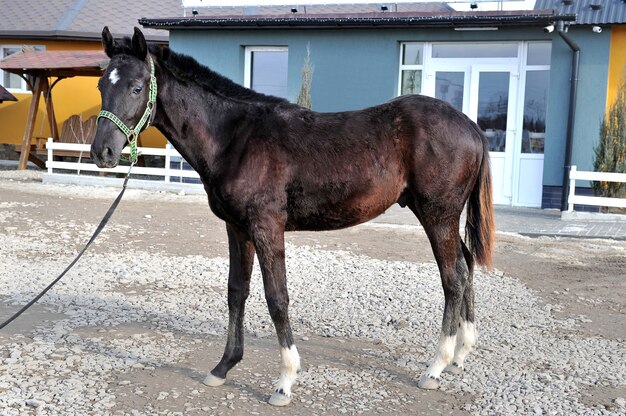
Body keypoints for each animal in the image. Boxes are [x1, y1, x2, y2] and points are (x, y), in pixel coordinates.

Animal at [91, 26, 492, 406]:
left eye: (137, 87)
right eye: (100, 84)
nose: (102, 152)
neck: (235, 138)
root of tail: (471, 126)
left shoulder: (267, 227)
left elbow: (276, 297)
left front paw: (284, 381)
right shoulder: (237, 228)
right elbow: (237, 291)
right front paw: (223, 366)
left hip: (437, 215)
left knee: (453, 278)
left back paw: (435, 367)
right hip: (440, 216)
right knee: (466, 265)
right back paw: (461, 354)